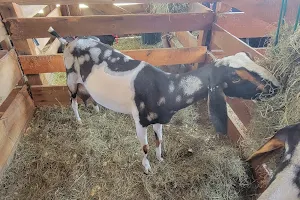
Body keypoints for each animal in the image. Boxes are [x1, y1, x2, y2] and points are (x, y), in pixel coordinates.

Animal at [48, 26, 282, 173]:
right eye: (235, 76)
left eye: (247, 56)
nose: (277, 86)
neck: (166, 88)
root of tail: (67, 41)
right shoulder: (140, 120)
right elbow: (145, 147)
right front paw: (147, 168)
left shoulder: (159, 119)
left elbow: (159, 140)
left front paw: (161, 159)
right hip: (70, 76)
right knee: (73, 100)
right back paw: (79, 120)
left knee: (87, 95)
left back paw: (96, 110)